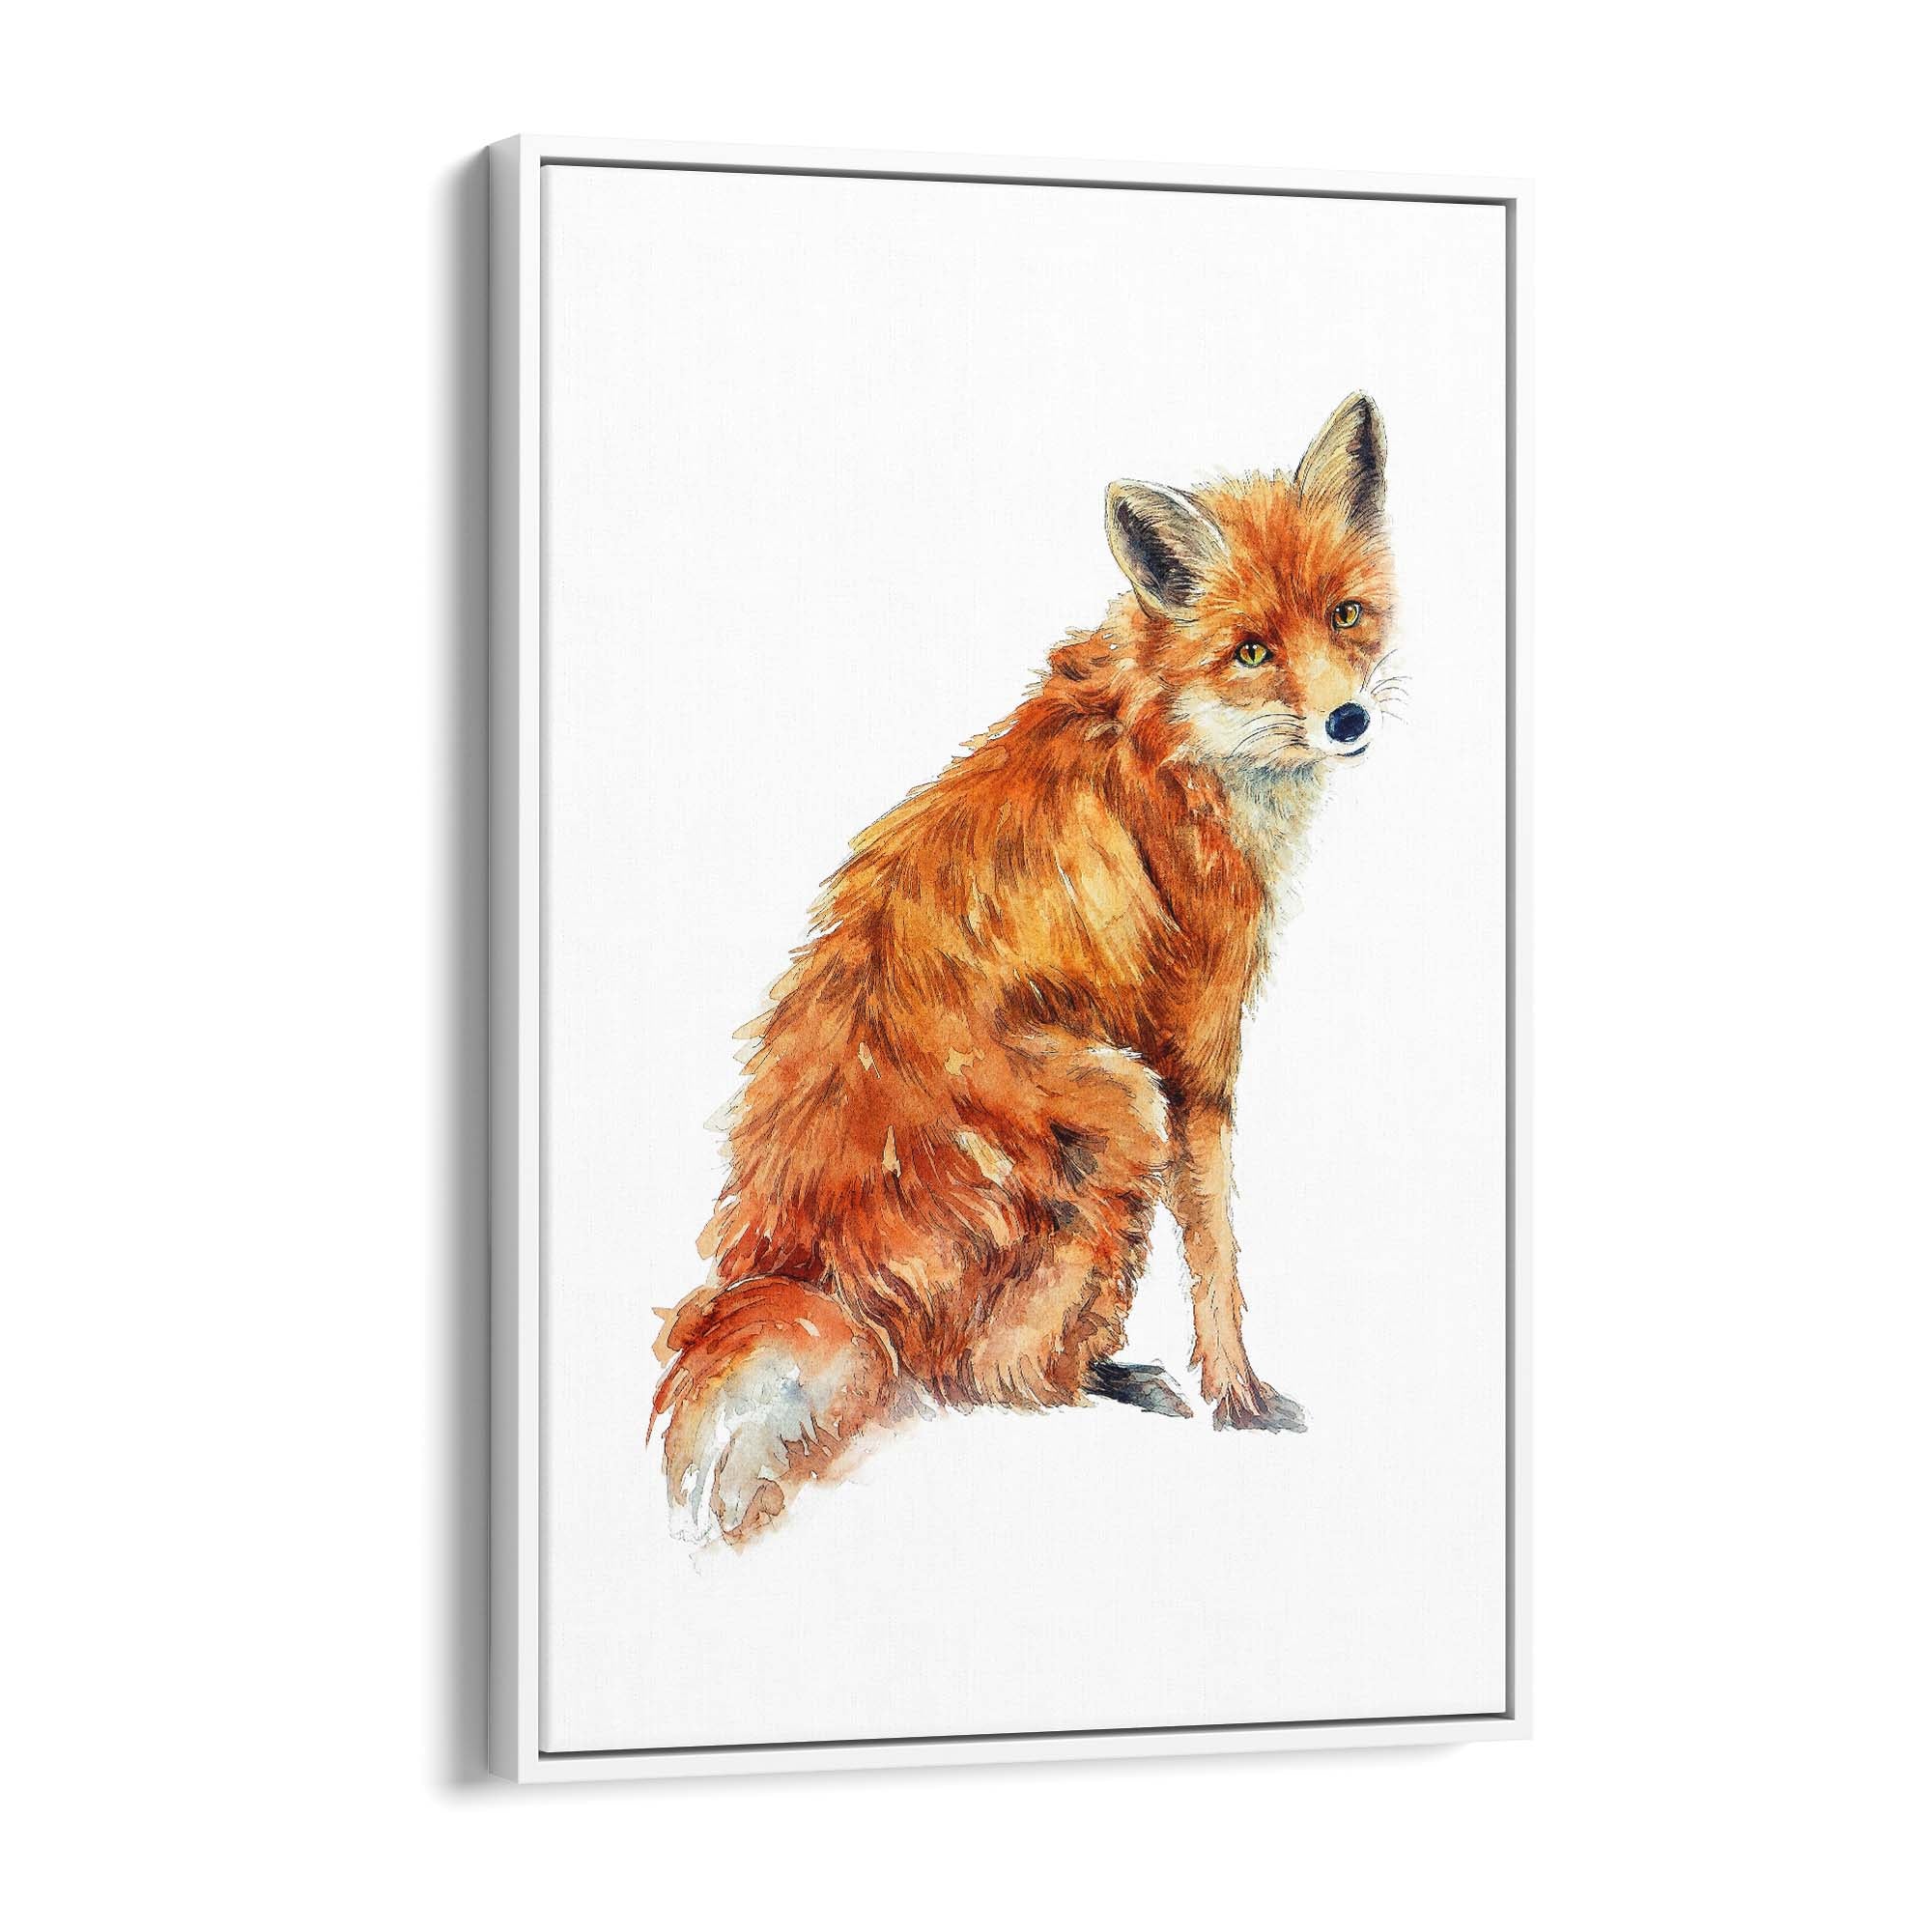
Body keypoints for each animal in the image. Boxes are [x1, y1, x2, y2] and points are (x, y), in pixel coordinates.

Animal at [651, 392, 1400, 1543]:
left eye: (1348, 615)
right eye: (1250, 649)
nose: (1347, 719)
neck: (1170, 741)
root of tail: (799, 1263)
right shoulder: (1193, 1054)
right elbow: (1218, 1256)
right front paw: (1238, 1395)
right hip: (1123, 1105)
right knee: (978, 1377)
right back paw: (1093, 1382)